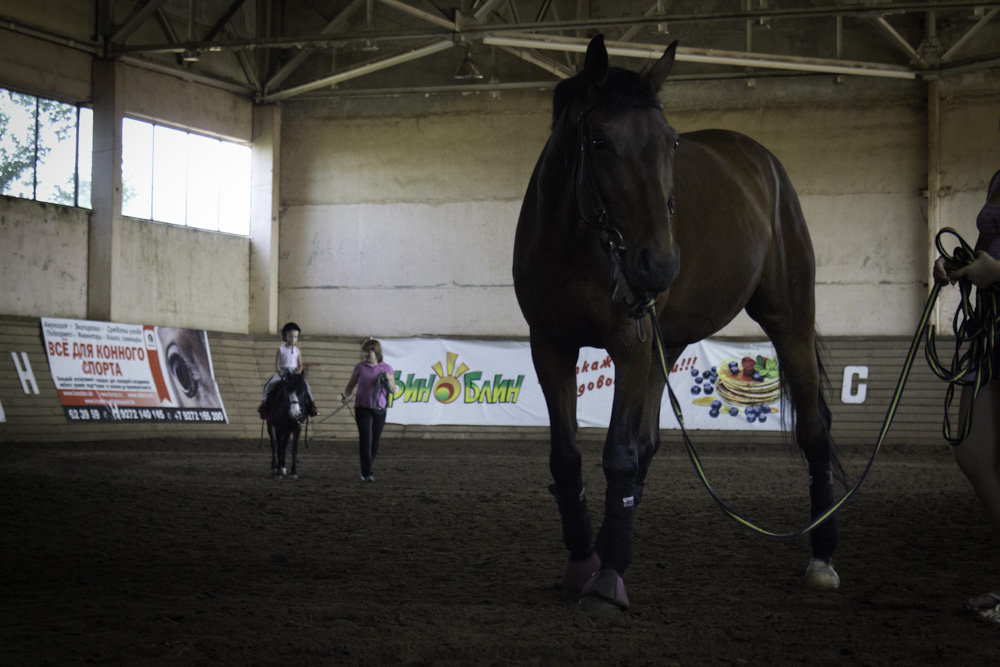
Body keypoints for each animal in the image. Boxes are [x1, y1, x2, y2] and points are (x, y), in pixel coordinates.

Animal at [512, 35, 840, 620]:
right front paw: (584, 562)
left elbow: (618, 454)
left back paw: (822, 559)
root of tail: (762, 162)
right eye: (598, 140)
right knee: (648, 443)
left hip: (789, 320)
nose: (660, 265)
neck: (576, 242)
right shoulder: (550, 346)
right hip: (669, 340)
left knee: (813, 432)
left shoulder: (629, 345)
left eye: (670, 142)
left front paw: (606, 580)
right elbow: (567, 456)